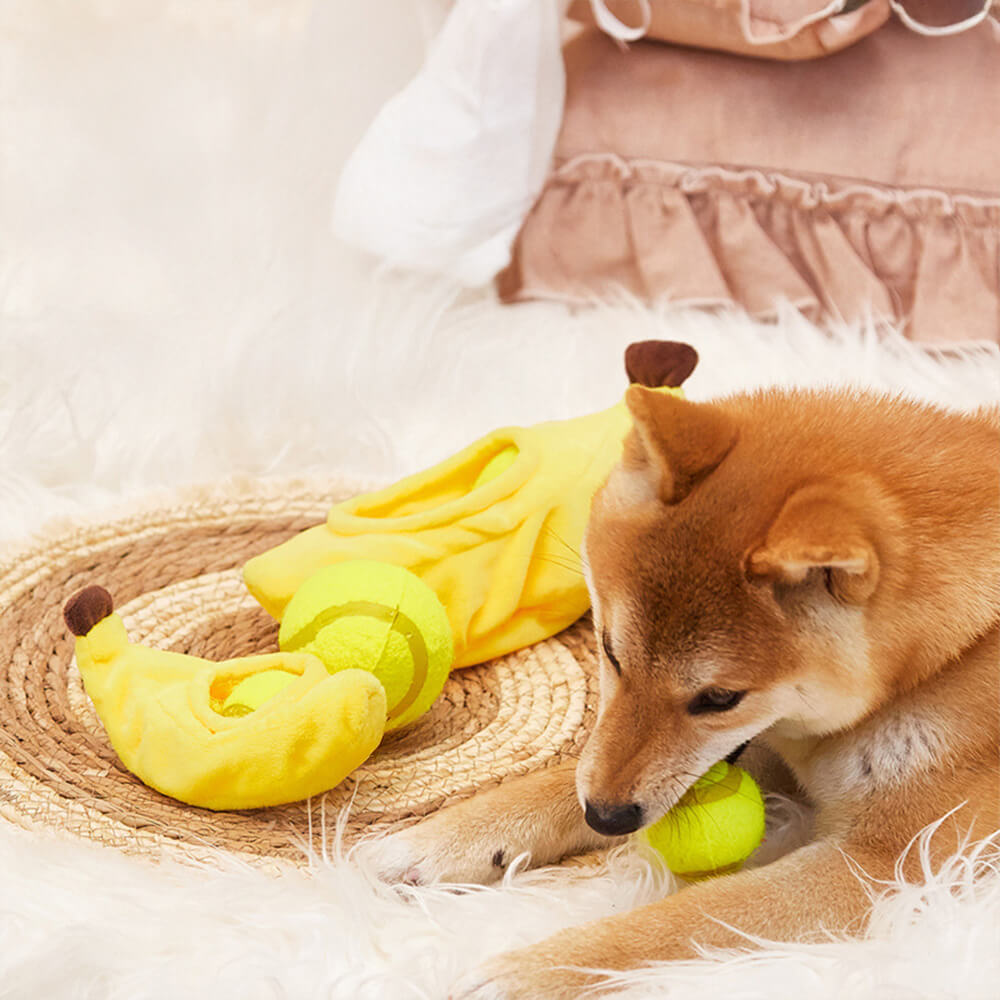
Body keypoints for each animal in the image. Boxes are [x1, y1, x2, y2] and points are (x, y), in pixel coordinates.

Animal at [368, 340, 1000, 996]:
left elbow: (689, 918)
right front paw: (441, 839)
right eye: (610, 650)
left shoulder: (889, 862)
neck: (945, 656)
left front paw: (531, 972)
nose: (608, 817)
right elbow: (565, 776)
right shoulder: (765, 742)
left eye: (720, 698)